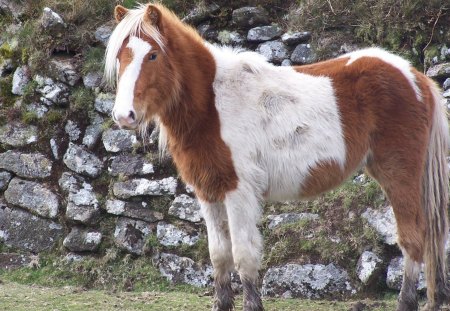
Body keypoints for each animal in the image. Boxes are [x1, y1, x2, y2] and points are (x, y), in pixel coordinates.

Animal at [103, 3, 448, 311]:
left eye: (153, 55)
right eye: (121, 57)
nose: (123, 116)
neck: (212, 106)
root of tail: (415, 77)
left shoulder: (238, 191)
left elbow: (243, 254)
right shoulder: (207, 191)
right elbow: (219, 255)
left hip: (399, 174)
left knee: (413, 239)